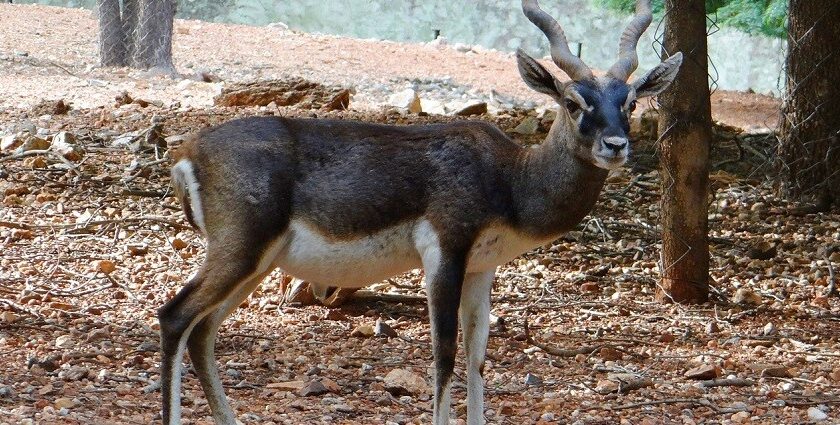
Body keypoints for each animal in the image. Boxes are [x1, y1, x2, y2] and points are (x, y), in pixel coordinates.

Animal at [159, 0, 684, 420]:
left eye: (630, 102)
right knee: (175, 317)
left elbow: (477, 355)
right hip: (241, 252)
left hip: (258, 264)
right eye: (574, 102)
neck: (509, 178)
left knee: (202, 334)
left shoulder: (482, 269)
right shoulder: (445, 253)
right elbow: (443, 353)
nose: (615, 146)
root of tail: (189, 153)